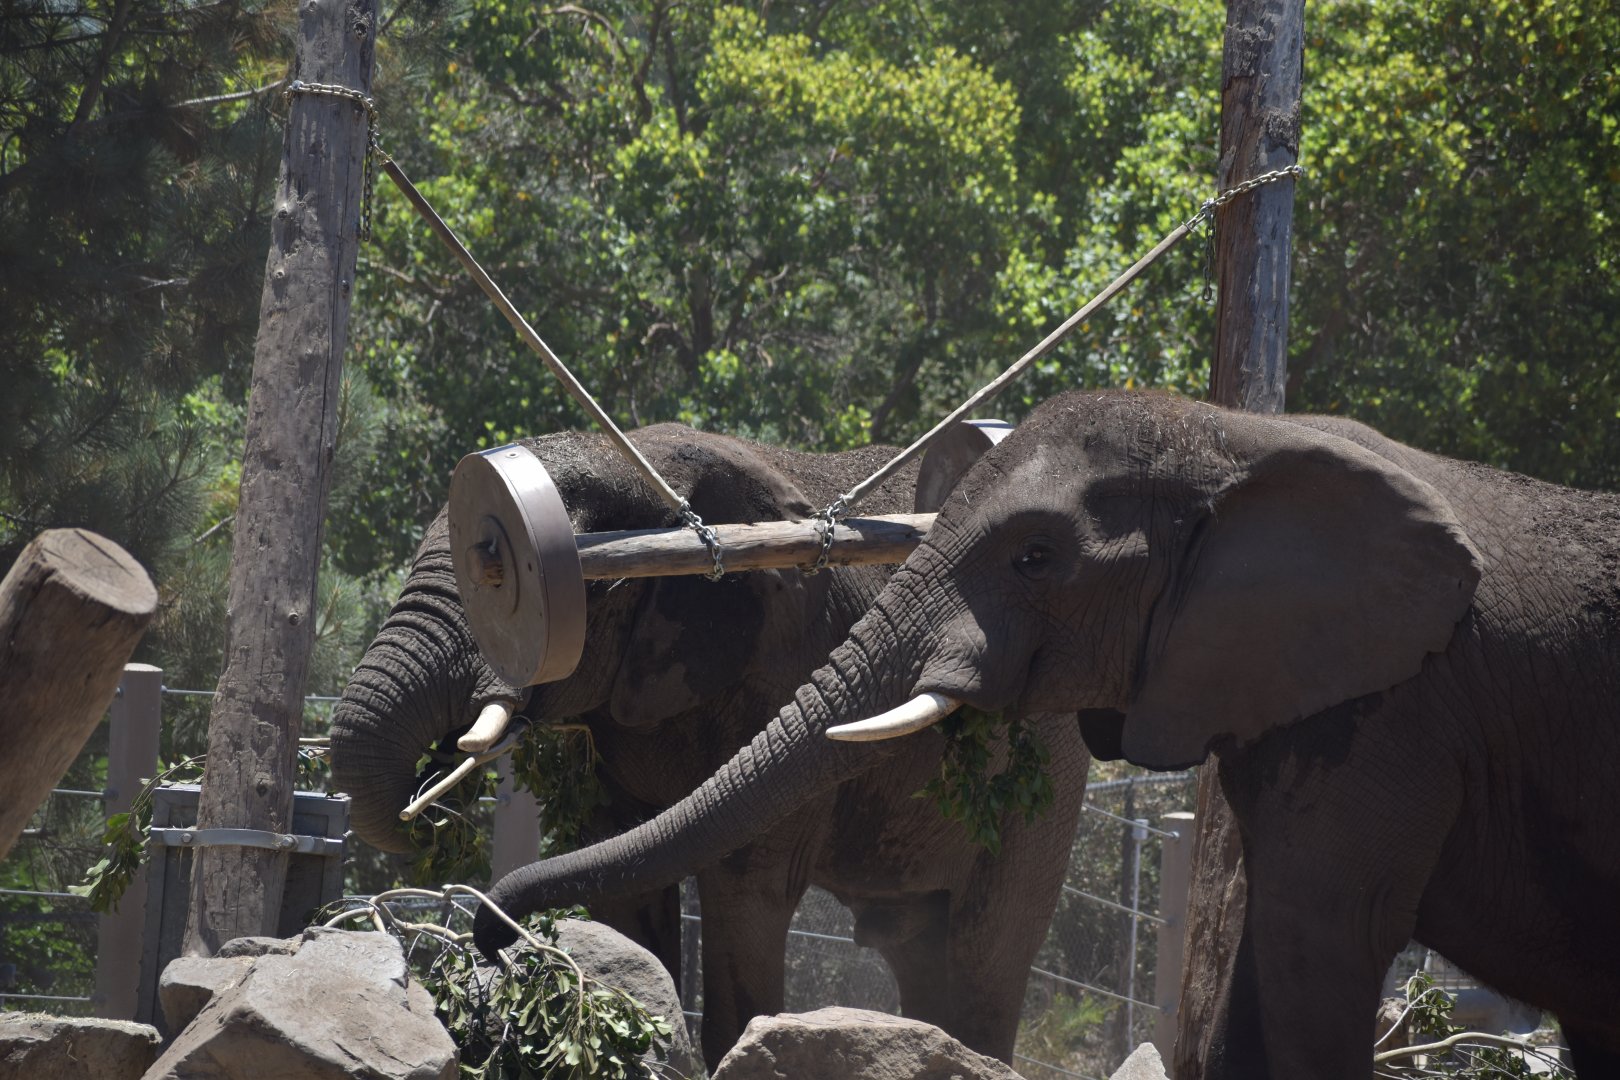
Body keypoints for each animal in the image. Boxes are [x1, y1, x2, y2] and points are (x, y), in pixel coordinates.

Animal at [329, 423, 1090, 1068]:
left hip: (1047, 774)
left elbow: (746, 883)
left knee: (982, 954)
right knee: (919, 946)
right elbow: (625, 881)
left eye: (508, 580)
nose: (493, 938)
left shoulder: (785, 657)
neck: (650, 458)